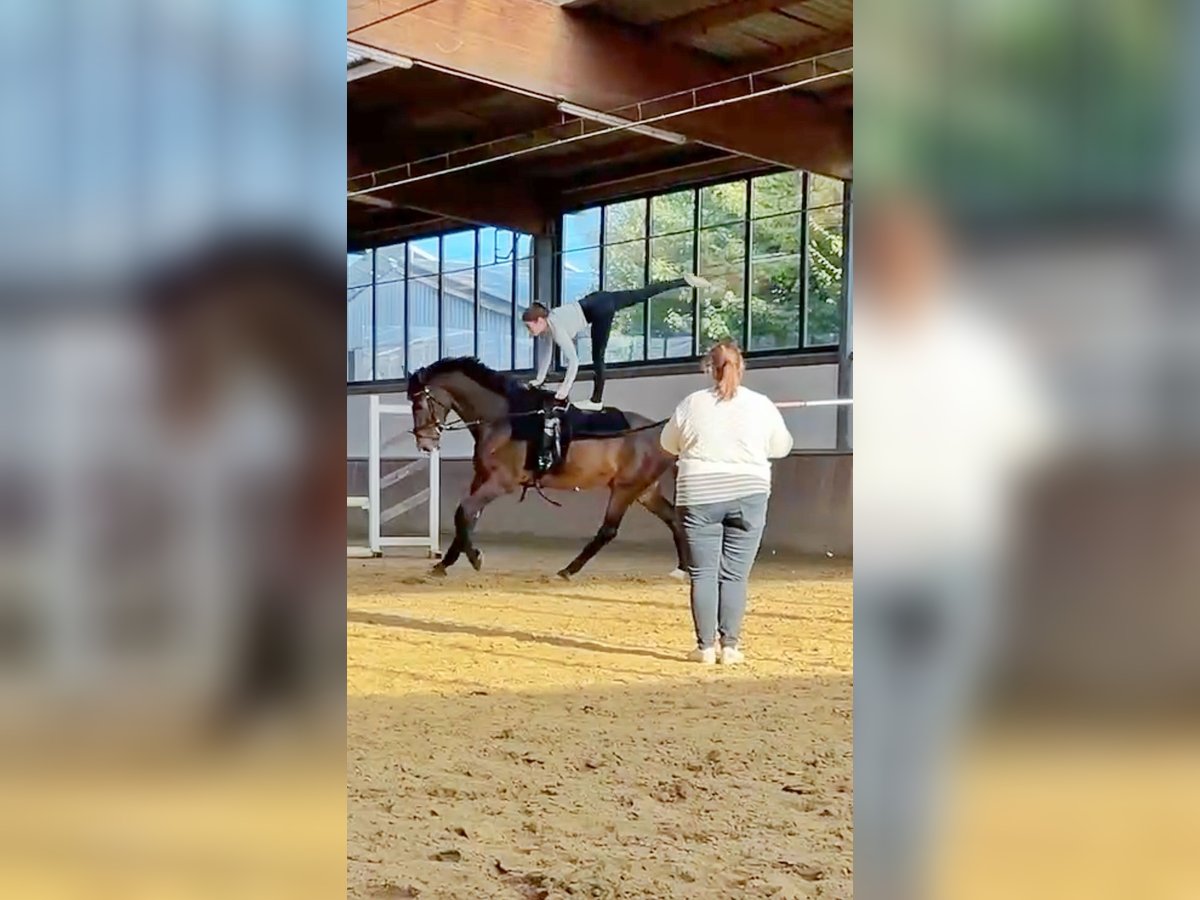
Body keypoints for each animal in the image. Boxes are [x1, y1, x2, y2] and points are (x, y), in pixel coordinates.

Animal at [405, 355, 691, 580]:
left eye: (419, 404)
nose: (425, 444)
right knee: (674, 520)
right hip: (645, 491)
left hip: (625, 489)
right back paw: (683, 569)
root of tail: (663, 433)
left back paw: (568, 570)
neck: (506, 420)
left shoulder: (501, 482)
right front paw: (445, 564)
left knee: (608, 530)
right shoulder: (482, 478)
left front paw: (475, 557)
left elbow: (464, 512)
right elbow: (466, 517)